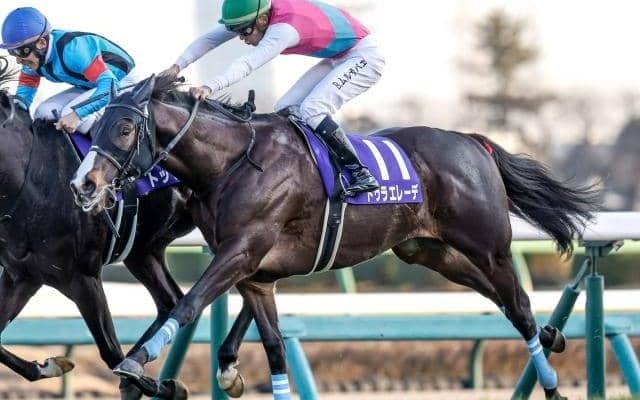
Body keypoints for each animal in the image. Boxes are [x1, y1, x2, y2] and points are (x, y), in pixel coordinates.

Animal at [0, 62, 194, 399]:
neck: (30, 178)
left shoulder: (84, 277)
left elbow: (111, 352)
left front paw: (163, 385)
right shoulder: (21, 276)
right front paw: (50, 365)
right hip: (142, 252)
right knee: (170, 302)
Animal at [71, 75, 599, 400]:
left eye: (123, 127)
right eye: (96, 127)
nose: (84, 184)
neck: (233, 162)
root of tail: (473, 141)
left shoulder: (242, 251)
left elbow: (188, 303)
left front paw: (136, 362)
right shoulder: (256, 274)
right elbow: (275, 350)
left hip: (488, 246)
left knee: (520, 304)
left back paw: (553, 382)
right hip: (430, 252)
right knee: (503, 302)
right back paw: (552, 337)